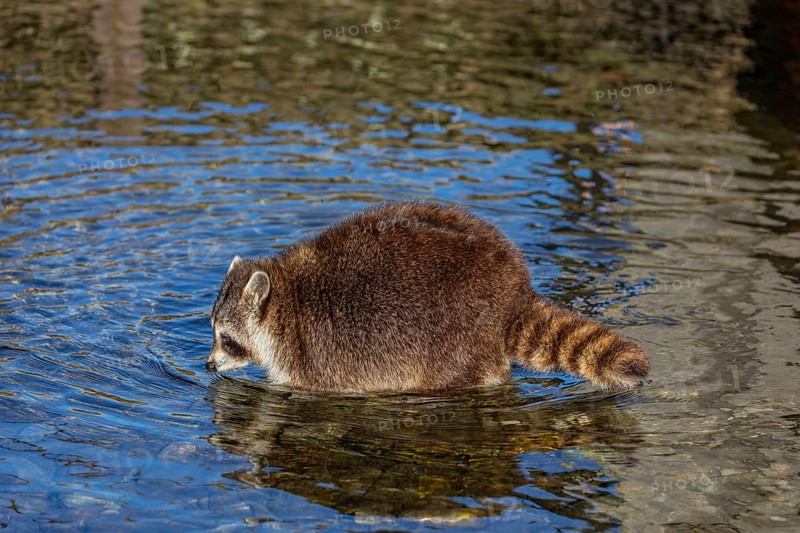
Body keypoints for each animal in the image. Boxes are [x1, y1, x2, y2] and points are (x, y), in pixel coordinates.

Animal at [206, 201, 649, 392]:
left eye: (227, 339)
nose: (208, 365)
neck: (287, 298)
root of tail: (511, 290)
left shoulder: (311, 358)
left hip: (455, 340)